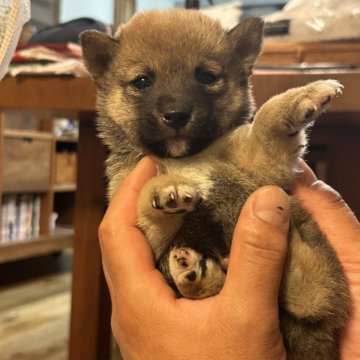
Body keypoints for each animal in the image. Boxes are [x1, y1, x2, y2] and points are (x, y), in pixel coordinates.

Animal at [80, 8, 350, 360]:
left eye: (206, 77)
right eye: (142, 81)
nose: (176, 114)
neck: (186, 158)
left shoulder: (259, 165)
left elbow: (265, 121)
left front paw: (301, 96)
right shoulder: (148, 238)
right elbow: (149, 204)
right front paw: (166, 191)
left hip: (312, 287)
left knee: (309, 289)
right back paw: (193, 272)